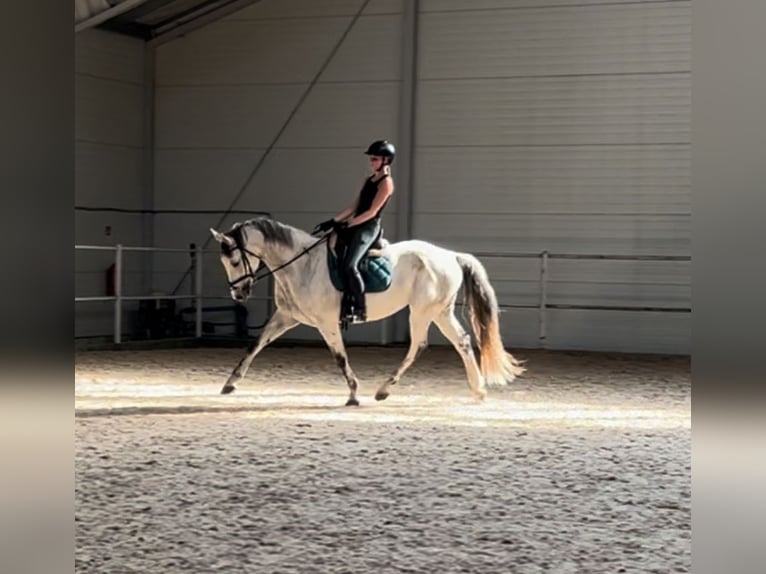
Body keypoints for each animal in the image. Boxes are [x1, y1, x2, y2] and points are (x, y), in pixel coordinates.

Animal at [210, 217, 524, 410]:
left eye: (235, 260)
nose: (239, 294)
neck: (302, 265)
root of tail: (452, 256)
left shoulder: (326, 322)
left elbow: (339, 357)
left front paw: (353, 394)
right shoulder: (286, 316)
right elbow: (255, 344)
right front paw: (230, 383)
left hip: (422, 311)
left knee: (419, 344)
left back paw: (384, 389)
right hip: (440, 311)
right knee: (462, 342)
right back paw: (478, 390)